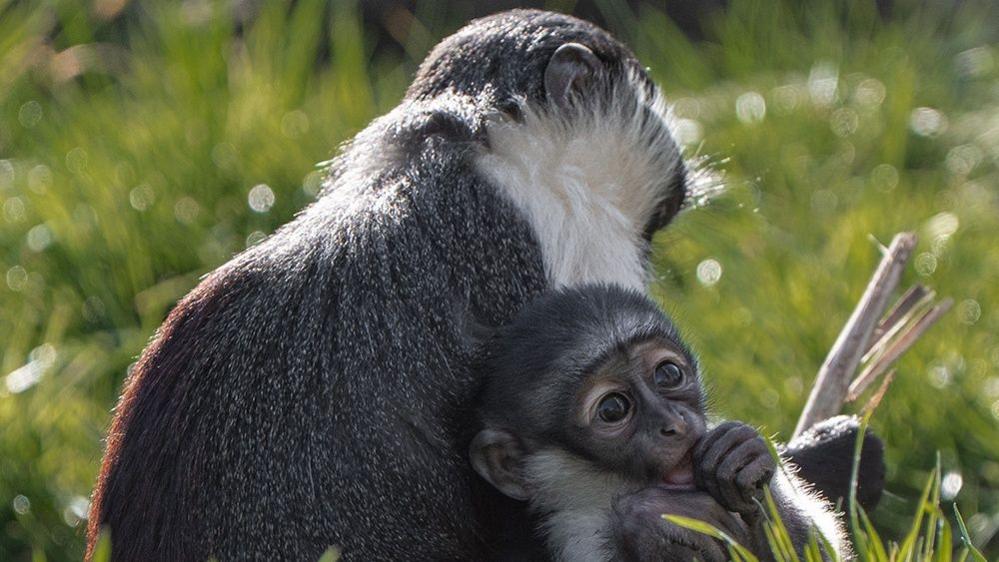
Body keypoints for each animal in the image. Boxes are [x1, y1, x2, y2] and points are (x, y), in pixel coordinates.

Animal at [469, 284, 851, 562]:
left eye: (668, 373)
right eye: (612, 409)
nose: (674, 424)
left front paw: (741, 457)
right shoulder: (577, 533)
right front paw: (649, 519)